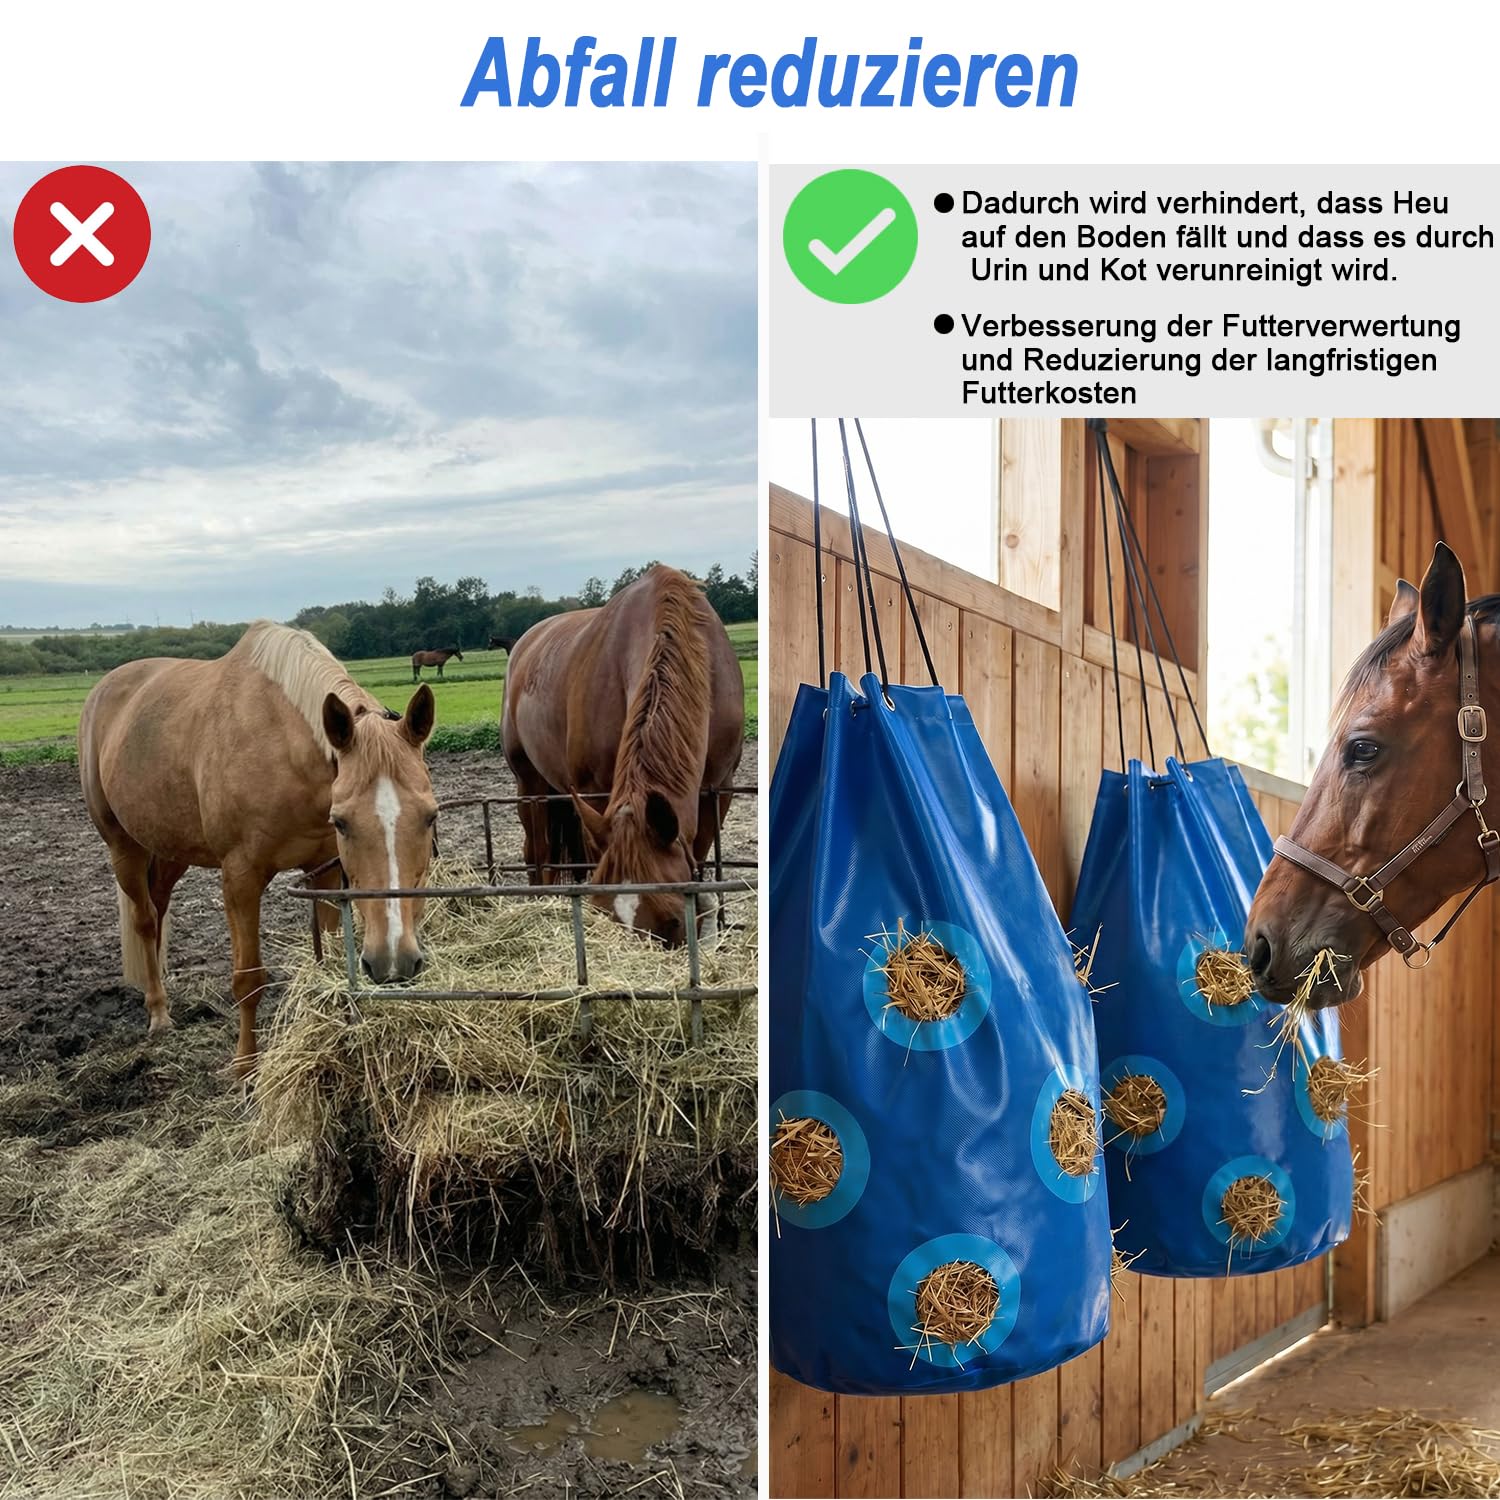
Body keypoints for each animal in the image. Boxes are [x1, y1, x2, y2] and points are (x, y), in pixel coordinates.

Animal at [79, 622, 440, 1070]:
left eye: (430, 816)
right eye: (342, 821)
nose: (394, 961)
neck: (283, 747)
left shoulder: (325, 871)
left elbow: (332, 955)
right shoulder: (241, 878)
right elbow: (248, 979)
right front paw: (244, 1066)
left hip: (170, 847)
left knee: (158, 908)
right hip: (122, 845)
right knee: (144, 920)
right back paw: (159, 1012)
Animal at [500, 564, 744, 946]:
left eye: (674, 921)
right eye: (602, 912)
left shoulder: (719, 790)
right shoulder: (592, 794)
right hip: (530, 785)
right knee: (539, 855)